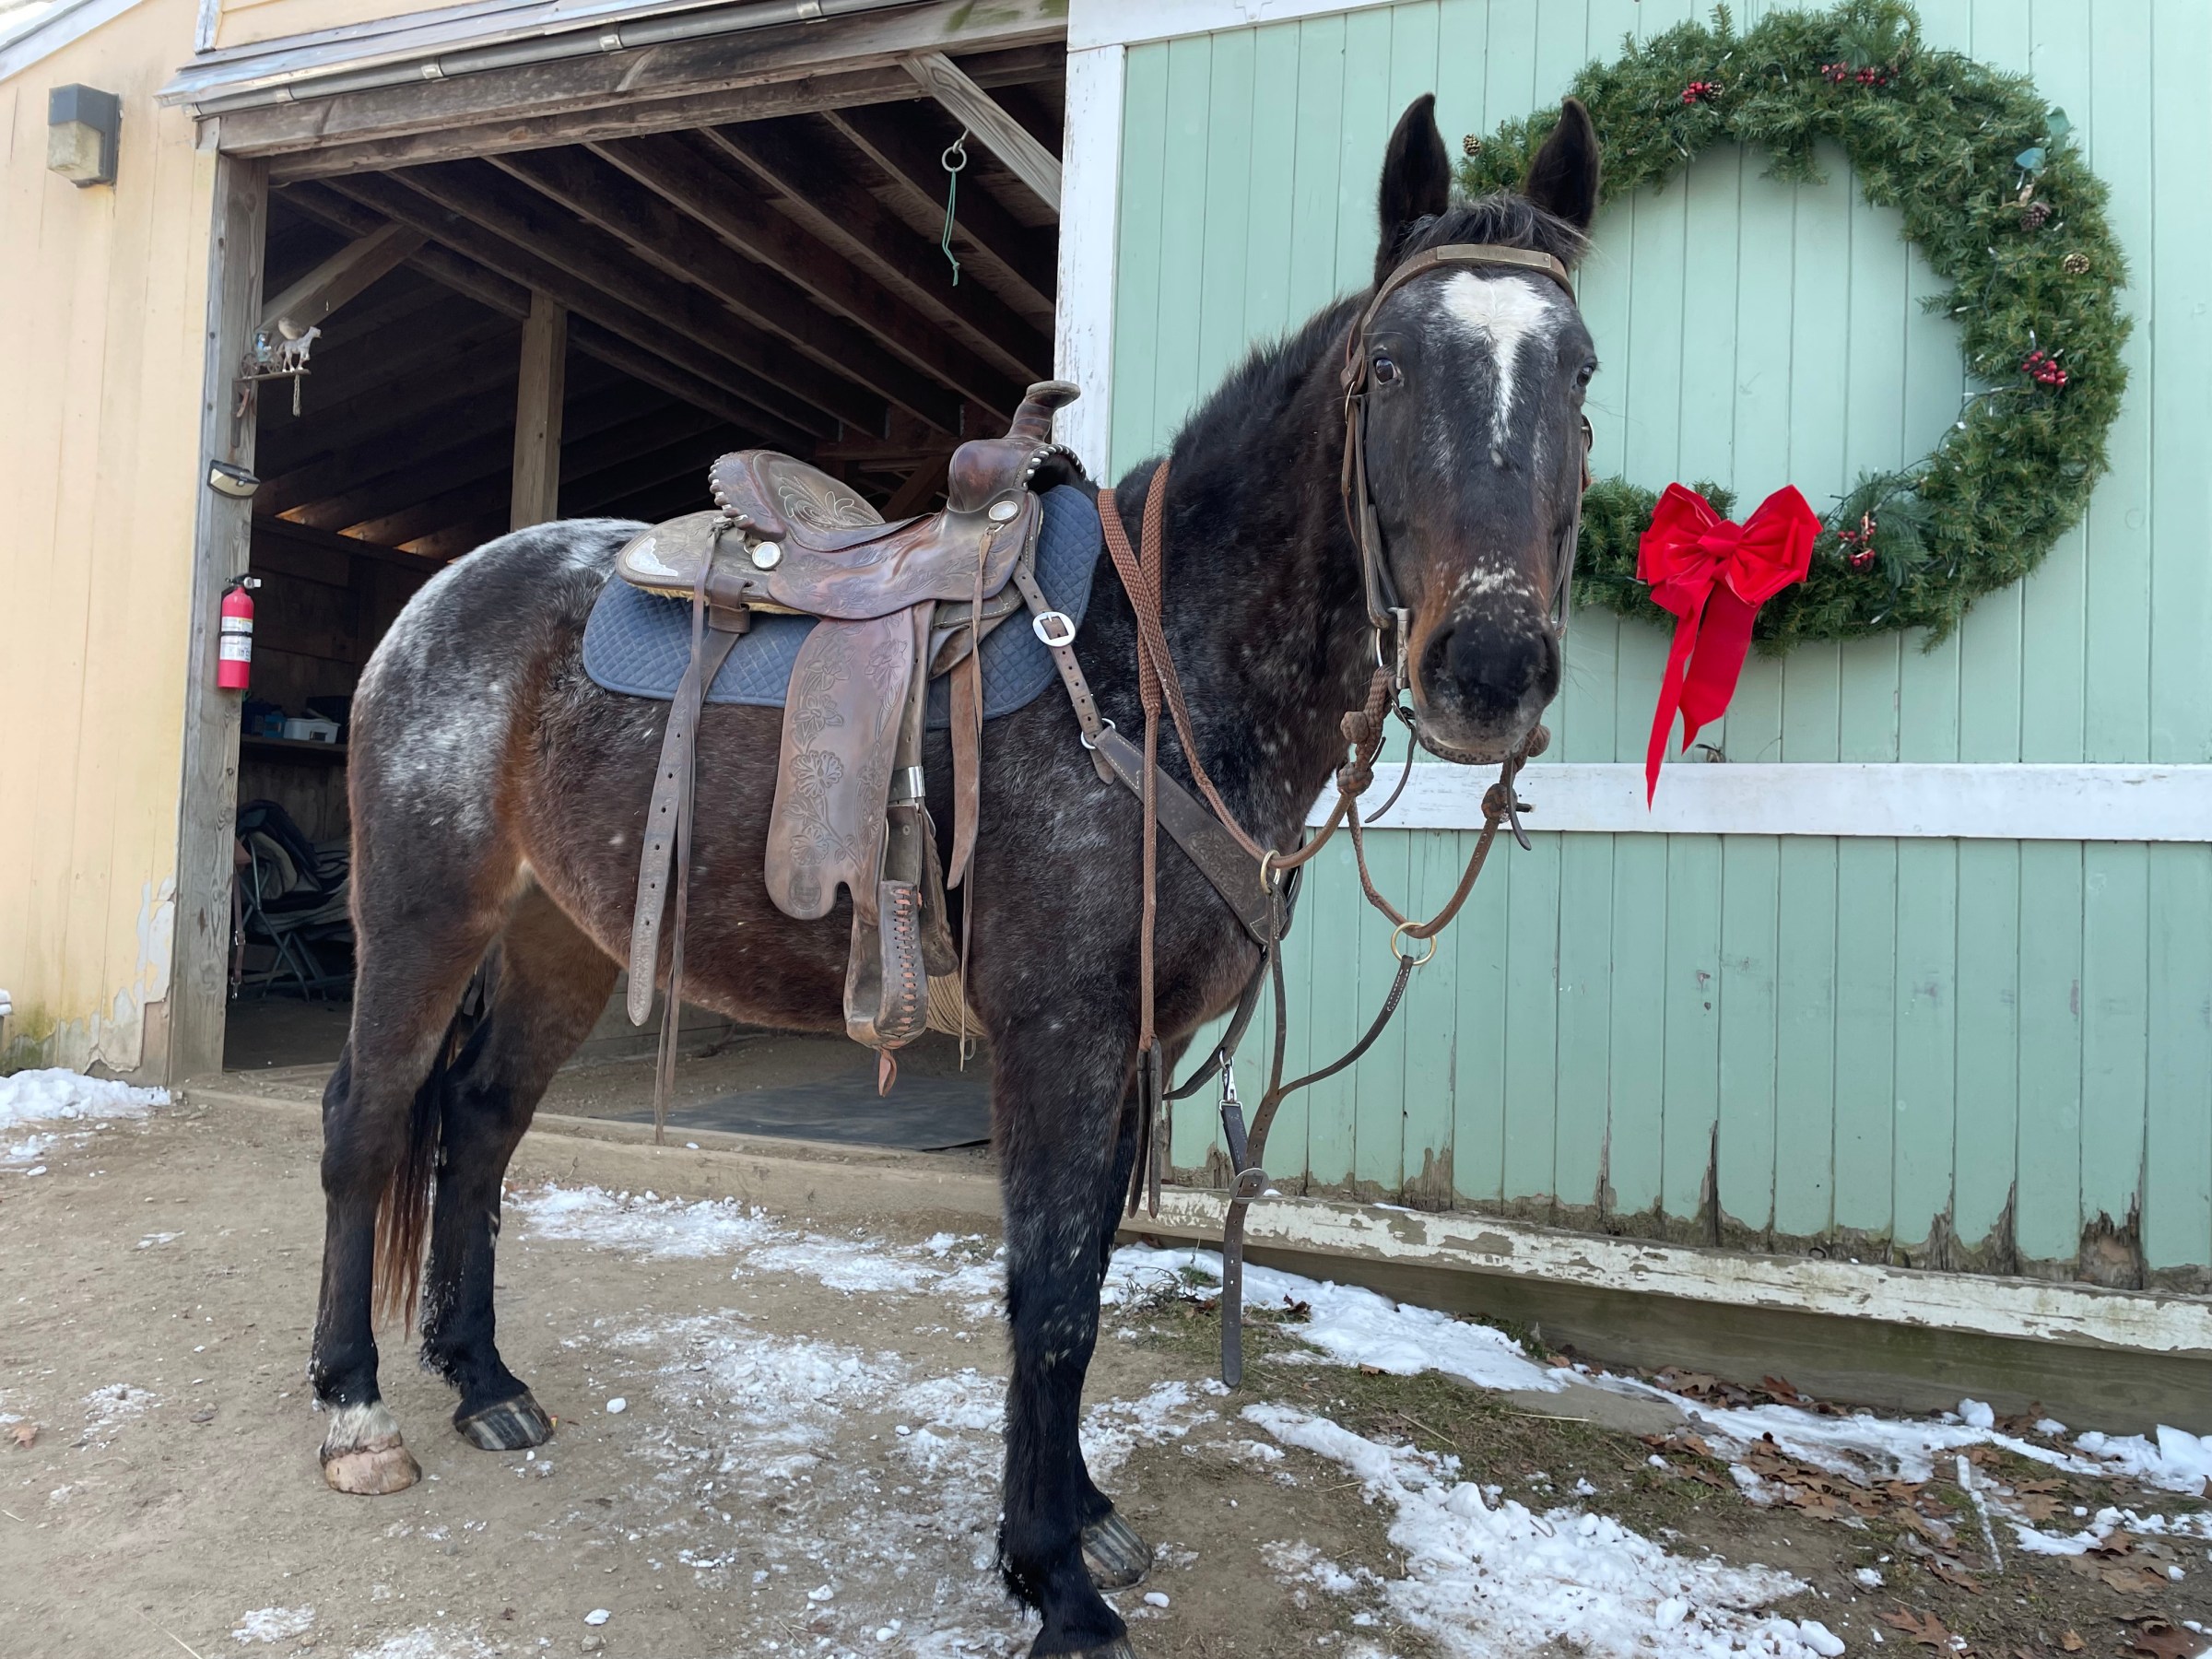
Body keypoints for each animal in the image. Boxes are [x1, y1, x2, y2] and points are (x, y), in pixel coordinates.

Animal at [308, 92, 1600, 1658]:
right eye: (1392, 368)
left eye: (1580, 371)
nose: (1490, 668)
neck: (1154, 662)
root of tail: (435, 599)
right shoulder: (1057, 1037)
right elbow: (1049, 1299)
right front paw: (1053, 1579)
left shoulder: (1126, 1049)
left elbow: (1087, 1276)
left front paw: (1081, 1519)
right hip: (426, 909)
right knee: (370, 1120)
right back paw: (356, 1412)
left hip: (566, 932)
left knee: (481, 1123)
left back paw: (484, 1380)